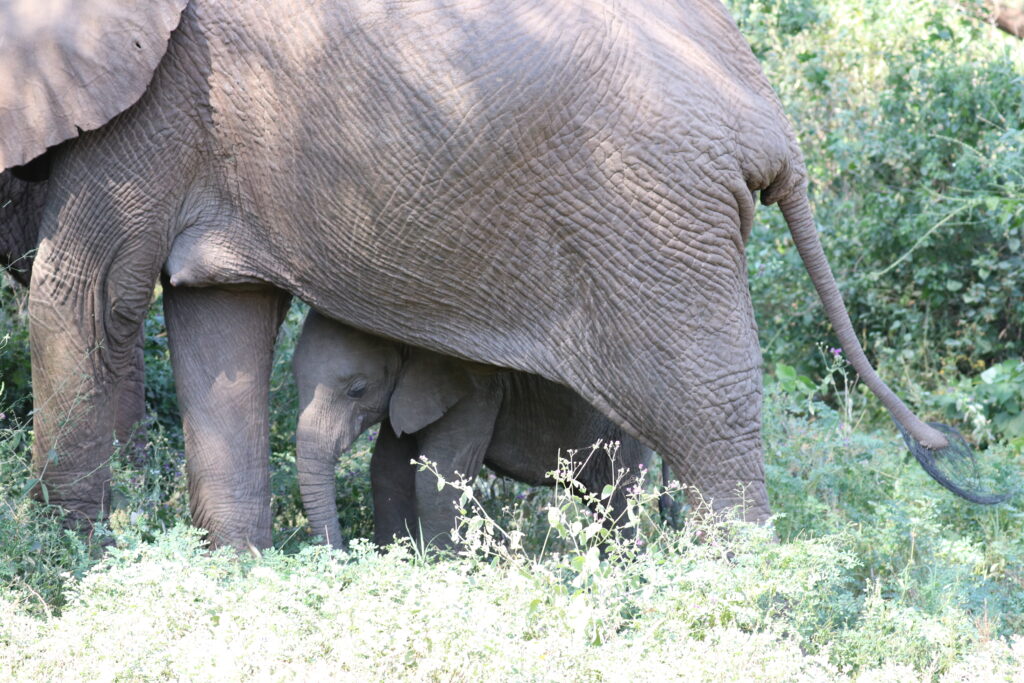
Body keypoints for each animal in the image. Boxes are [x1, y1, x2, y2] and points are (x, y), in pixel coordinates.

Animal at [292, 309, 651, 548]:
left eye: (357, 390)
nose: (341, 554)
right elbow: (388, 471)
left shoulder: (474, 389)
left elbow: (438, 480)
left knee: (618, 501)